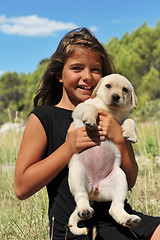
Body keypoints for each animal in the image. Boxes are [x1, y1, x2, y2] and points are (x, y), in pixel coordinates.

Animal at [68, 74, 141, 235]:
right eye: (108, 86)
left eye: (125, 90)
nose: (115, 97)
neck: (111, 110)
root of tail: (94, 191)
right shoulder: (80, 108)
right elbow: (92, 107)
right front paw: (90, 120)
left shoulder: (120, 121)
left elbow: (130, 120)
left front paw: (130, 134)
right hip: (77, 173)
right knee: (81, 196)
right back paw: (85, 210)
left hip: (120, 179)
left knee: (114, 208)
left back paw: (128, 219)